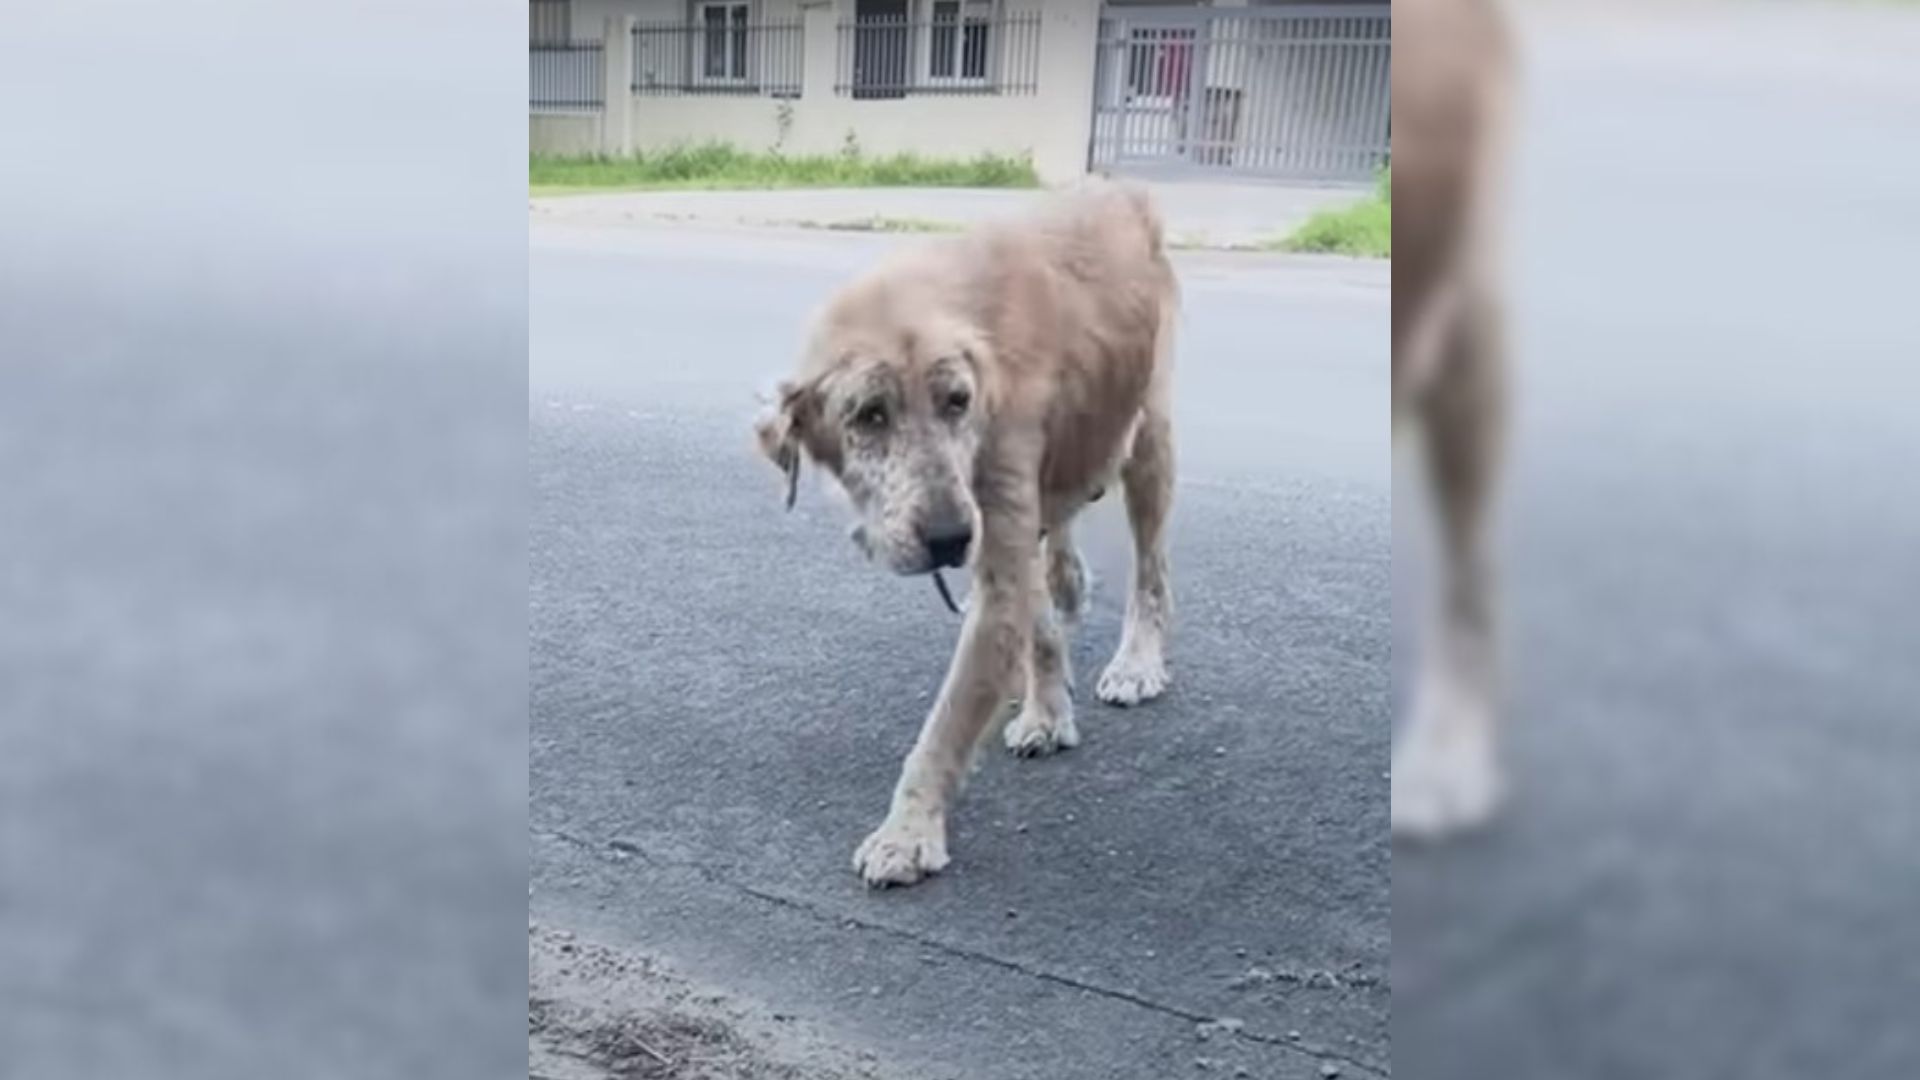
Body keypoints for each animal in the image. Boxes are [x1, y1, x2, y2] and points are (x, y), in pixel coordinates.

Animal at [752, 178, 1175, 883]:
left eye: (957, 401)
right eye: (868, 415)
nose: (949, 540)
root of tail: (1119, 185)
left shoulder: (998, 538)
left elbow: (944, 728)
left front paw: (907, 833)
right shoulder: (1000, 532)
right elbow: (1035, 626)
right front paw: (1047, 710)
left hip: (1149, 437)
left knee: (1152, 574)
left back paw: (1138, 662)